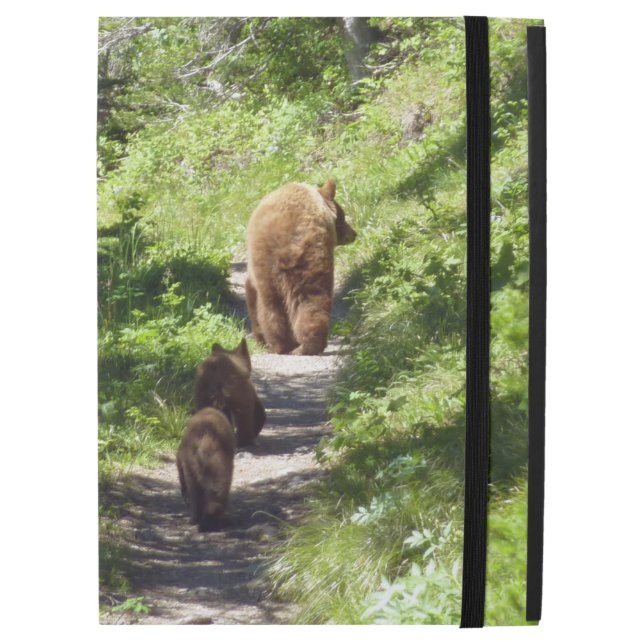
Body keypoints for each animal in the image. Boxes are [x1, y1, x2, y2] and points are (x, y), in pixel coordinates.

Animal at [245, 178, 356, 355]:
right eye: (343, 216)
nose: (354, 233)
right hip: (306, 261)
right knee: (308, 300)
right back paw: (304, 345)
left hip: (275, 265)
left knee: (275, 306)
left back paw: (285, 345)